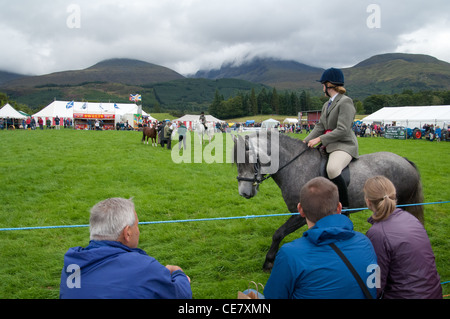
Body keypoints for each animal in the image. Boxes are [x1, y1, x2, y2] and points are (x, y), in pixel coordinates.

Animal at [234, 131, 424, 272]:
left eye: (251, 160)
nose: (244, 193)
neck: (296, 166)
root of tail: (404, 160)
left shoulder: (300, 215)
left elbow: (278, 233)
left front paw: (269, 262)